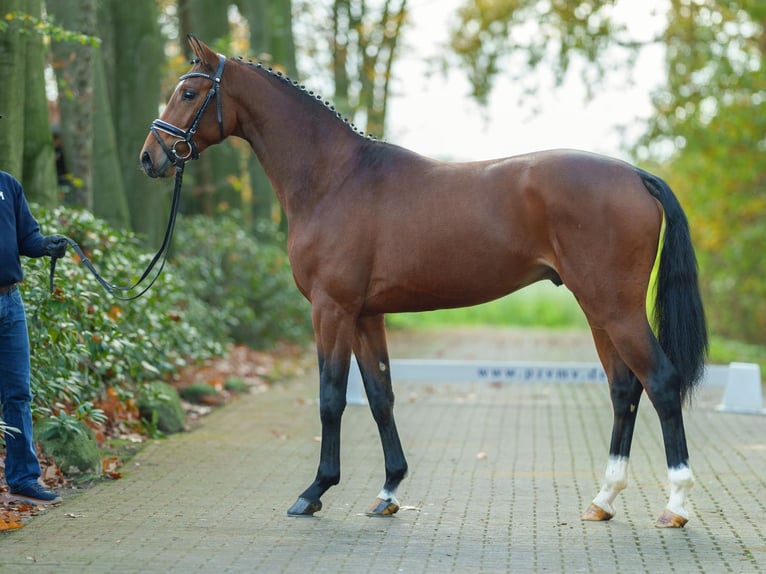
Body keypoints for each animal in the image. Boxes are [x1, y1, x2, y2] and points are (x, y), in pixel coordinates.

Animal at [140, 37, 708, 532]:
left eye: (189, 93)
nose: (151, 157)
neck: (334, 178)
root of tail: (636, 175)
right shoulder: (366, 315)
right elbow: (380, 396)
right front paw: (388, 491)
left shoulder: (331, 309)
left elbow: (330, 397)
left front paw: (314, 492)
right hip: (597, 309)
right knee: (624, 388)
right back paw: (603, 500)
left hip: (616, 308)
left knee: (660, 381)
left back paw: (676, 506)